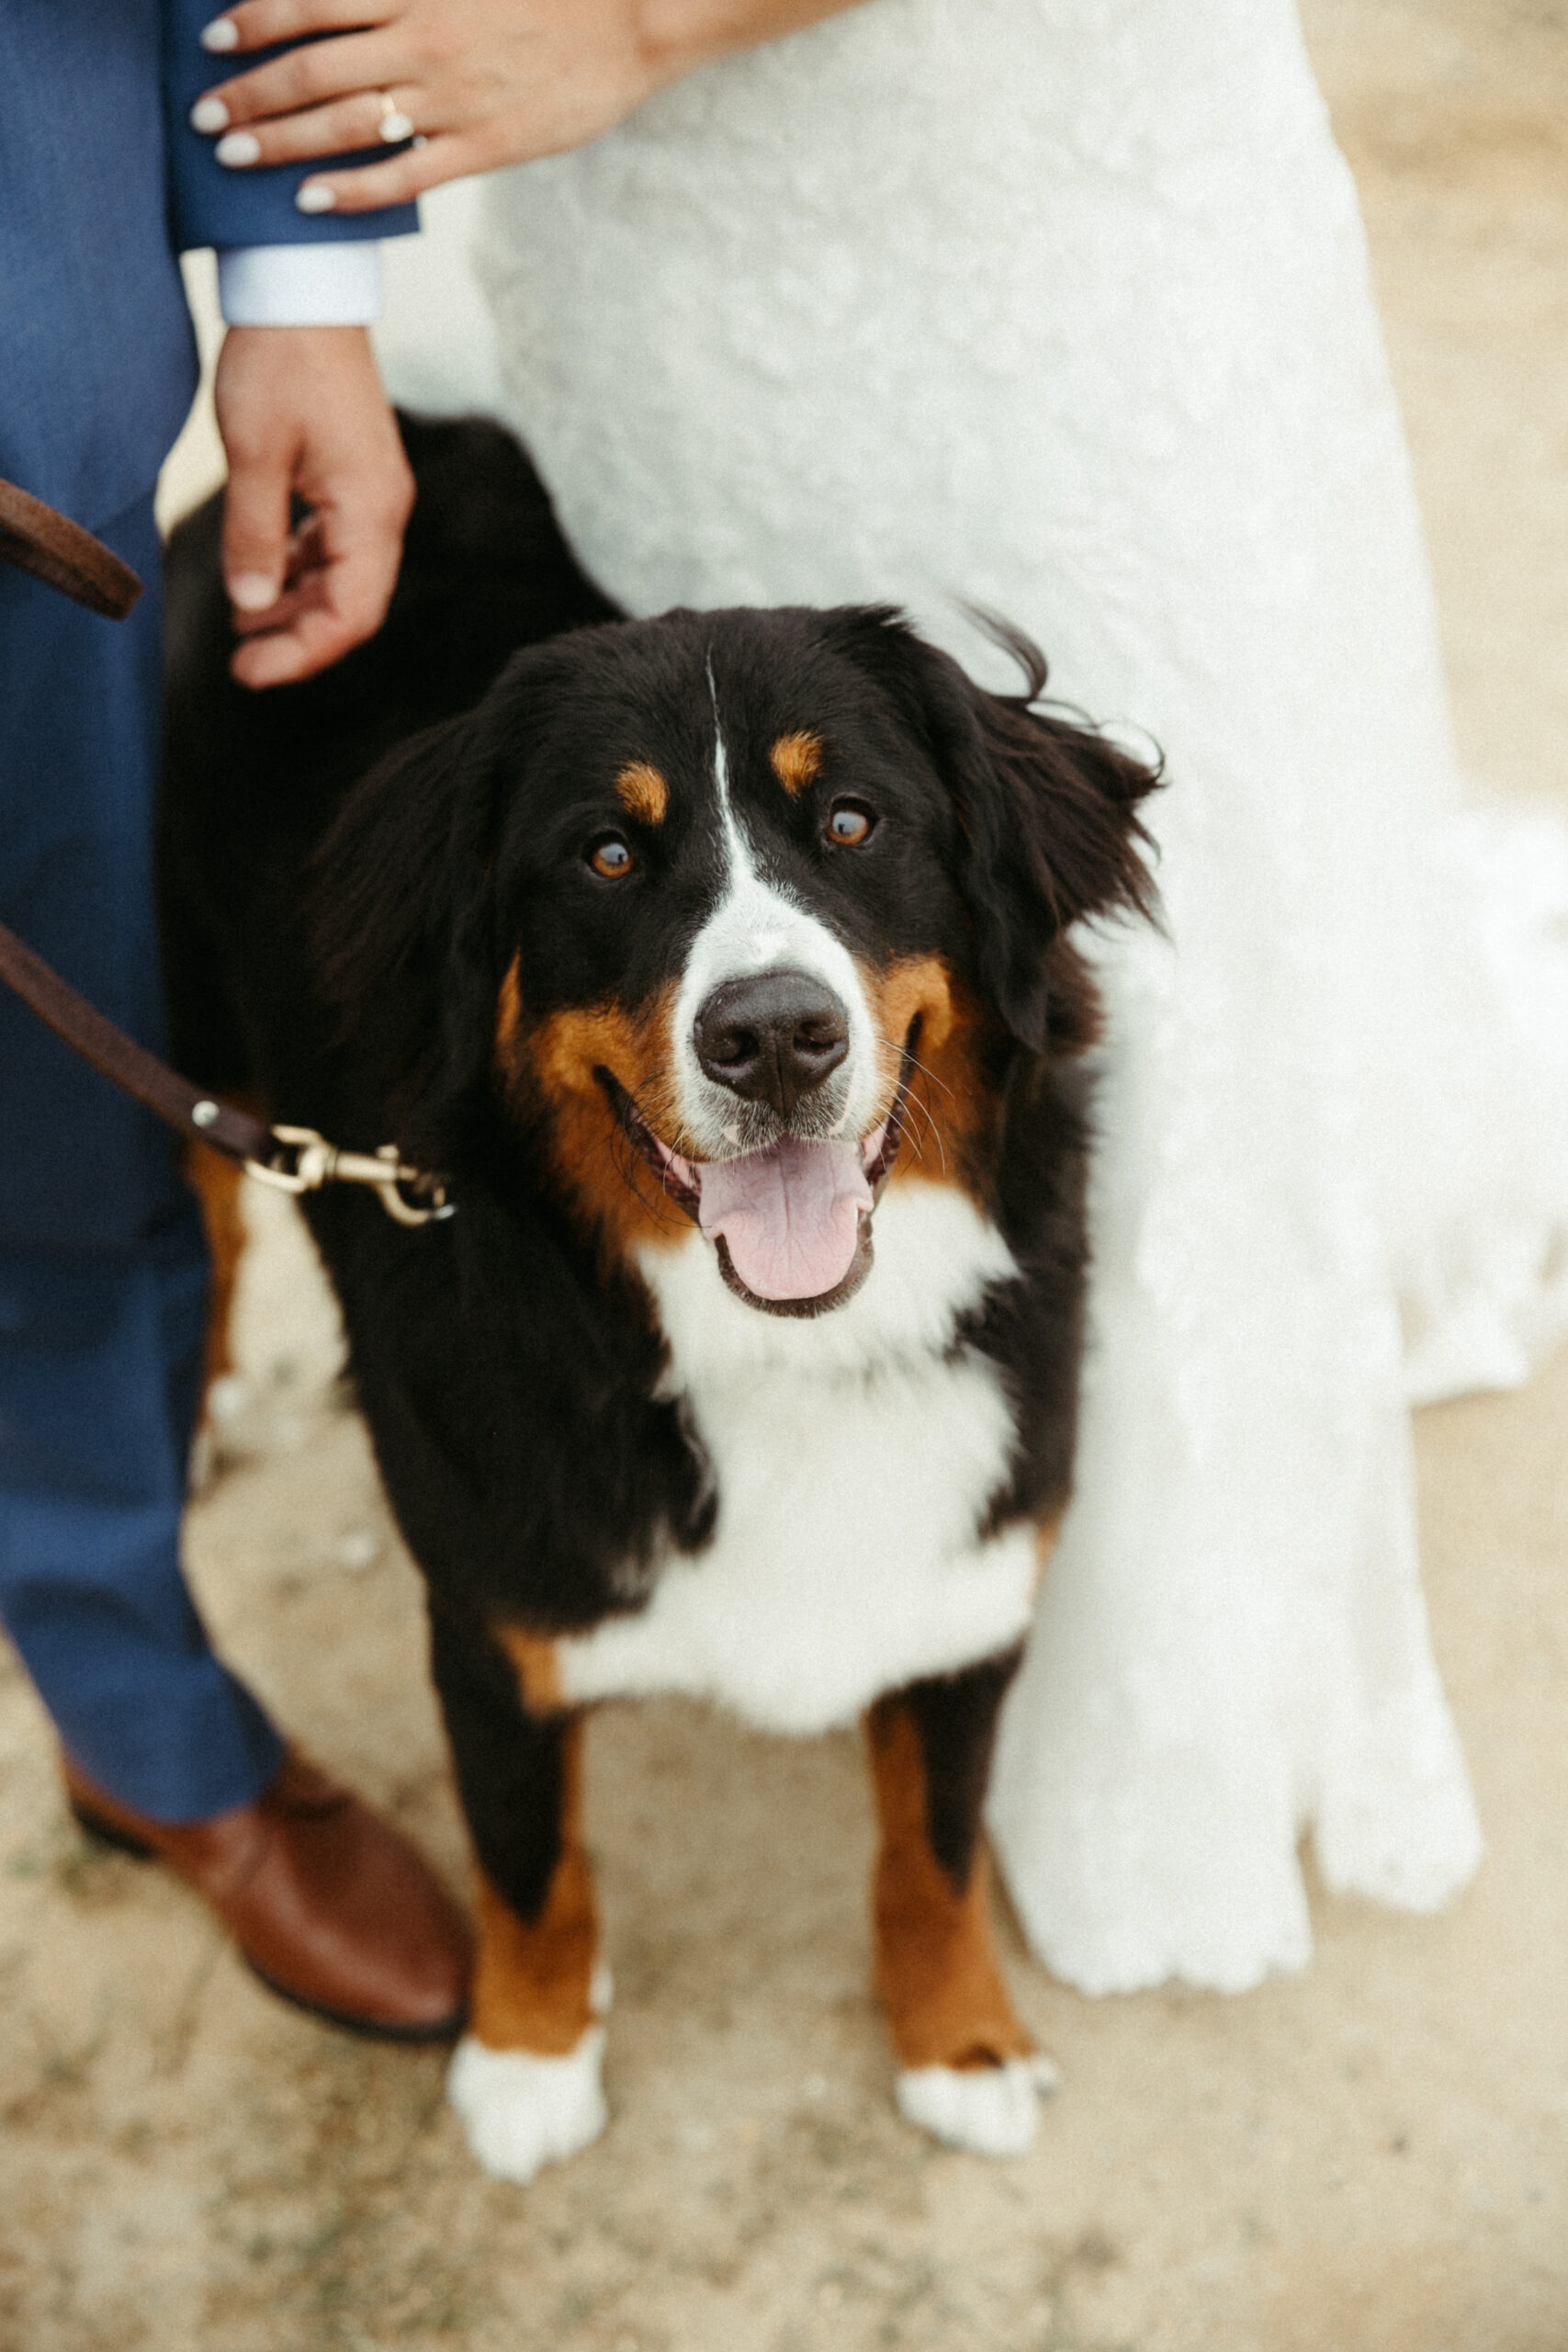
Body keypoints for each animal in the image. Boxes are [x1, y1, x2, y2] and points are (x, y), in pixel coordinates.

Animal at [162, 418, 1152, 2182]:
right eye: (607, 855)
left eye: (851, 825)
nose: (771, 1038)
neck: (775, 1351)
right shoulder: (496, 1615)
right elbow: (526, 1859)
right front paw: (526, 2056)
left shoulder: (974, 1579)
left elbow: (935, 1848)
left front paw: (960, 2041)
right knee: (207, 1189)